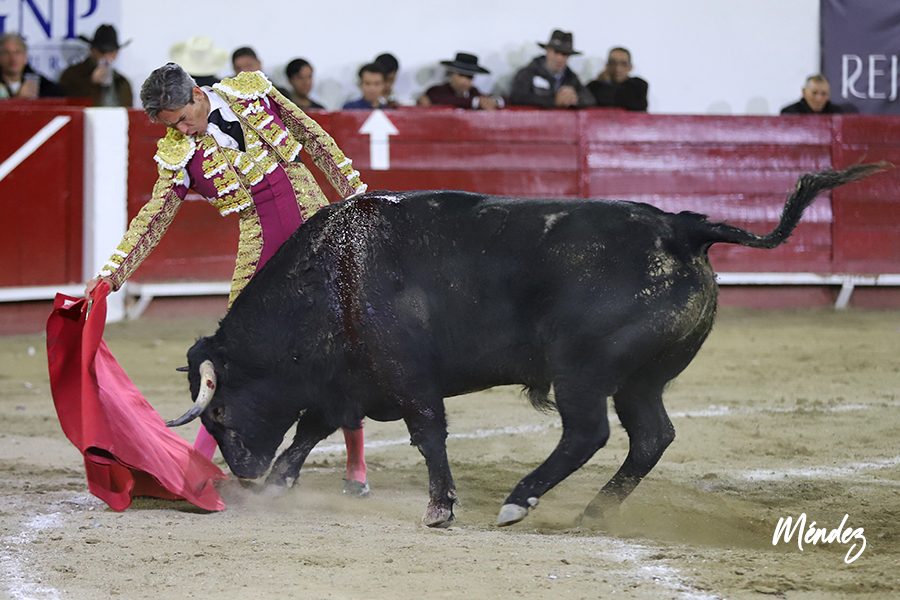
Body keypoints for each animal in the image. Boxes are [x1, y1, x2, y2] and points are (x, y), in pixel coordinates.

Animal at [167, 164, 884, 527]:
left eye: (220, 411)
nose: (242, 472)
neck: (335, 277)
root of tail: (683, 228)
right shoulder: (351, 382)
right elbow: (313, 426)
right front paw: (278, 484)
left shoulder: (406, 377)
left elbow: (427, 434)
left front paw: (440, 510)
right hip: (641, 379)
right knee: (651, 436)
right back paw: (592, 514)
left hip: (584, 372)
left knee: (590, 433)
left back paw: (519, 500)